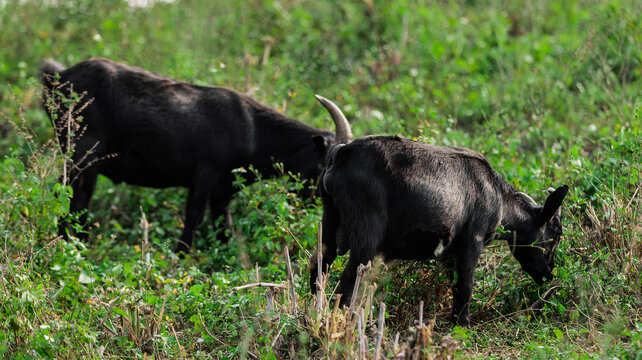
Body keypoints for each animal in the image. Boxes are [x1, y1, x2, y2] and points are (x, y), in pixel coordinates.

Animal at [41, 59, 350, 253]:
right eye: (325, 164)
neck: (253, 128)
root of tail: (57, 77)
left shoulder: (224, 188)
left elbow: (223, 224)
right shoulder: (206, 173)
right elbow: (194, 215)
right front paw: (181, 256)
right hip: (85, 154)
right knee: (77, 197)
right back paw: (76, 245)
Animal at [310, 97, 564, 328]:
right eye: (553, 236)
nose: (549, 274)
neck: (499, 197)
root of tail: (341, 152)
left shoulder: (450, 253)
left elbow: (456, 284)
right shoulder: (472, 243)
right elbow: (466, 284)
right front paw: (463, 324)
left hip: (329, 222)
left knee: (318, 262)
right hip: (367, 235)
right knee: (349, 278)